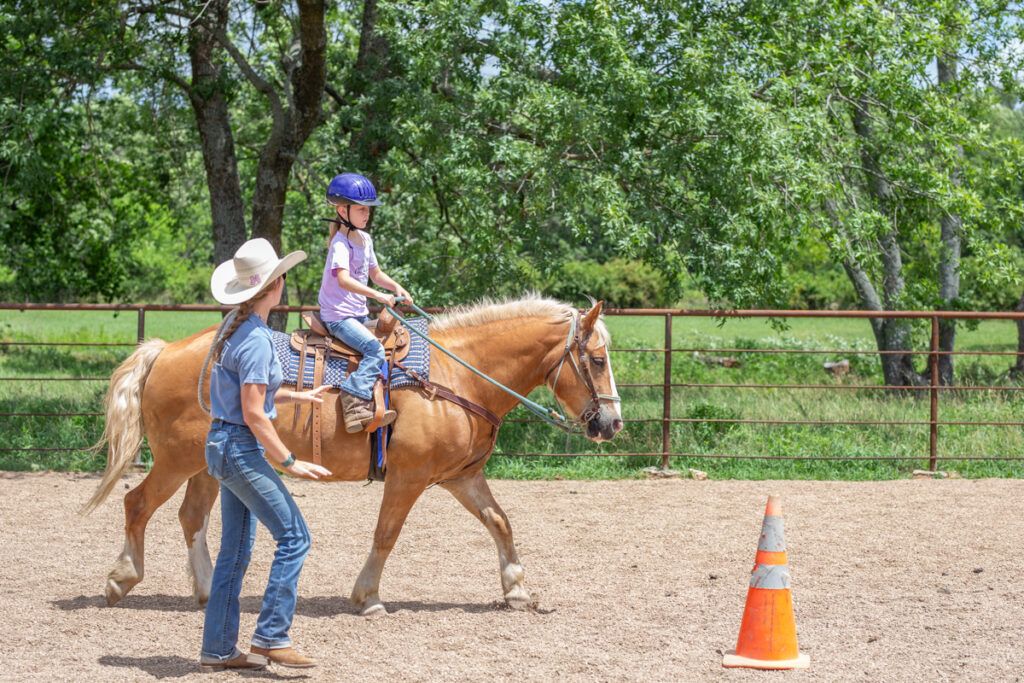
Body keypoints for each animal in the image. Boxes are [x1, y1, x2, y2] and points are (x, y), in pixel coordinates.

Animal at [82, 296, 623, 616]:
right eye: (597, 360)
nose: (613, 424)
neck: (458, 376)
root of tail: (165, 350)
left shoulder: (461, 477)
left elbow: (500, 522)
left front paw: (517, 590)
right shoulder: (408, 477)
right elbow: (387, 534)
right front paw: (367, 597)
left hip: (207, 466)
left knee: (190, 516)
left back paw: (208, 591)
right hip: (176, 461)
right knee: (137, 504)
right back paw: (121, 579)